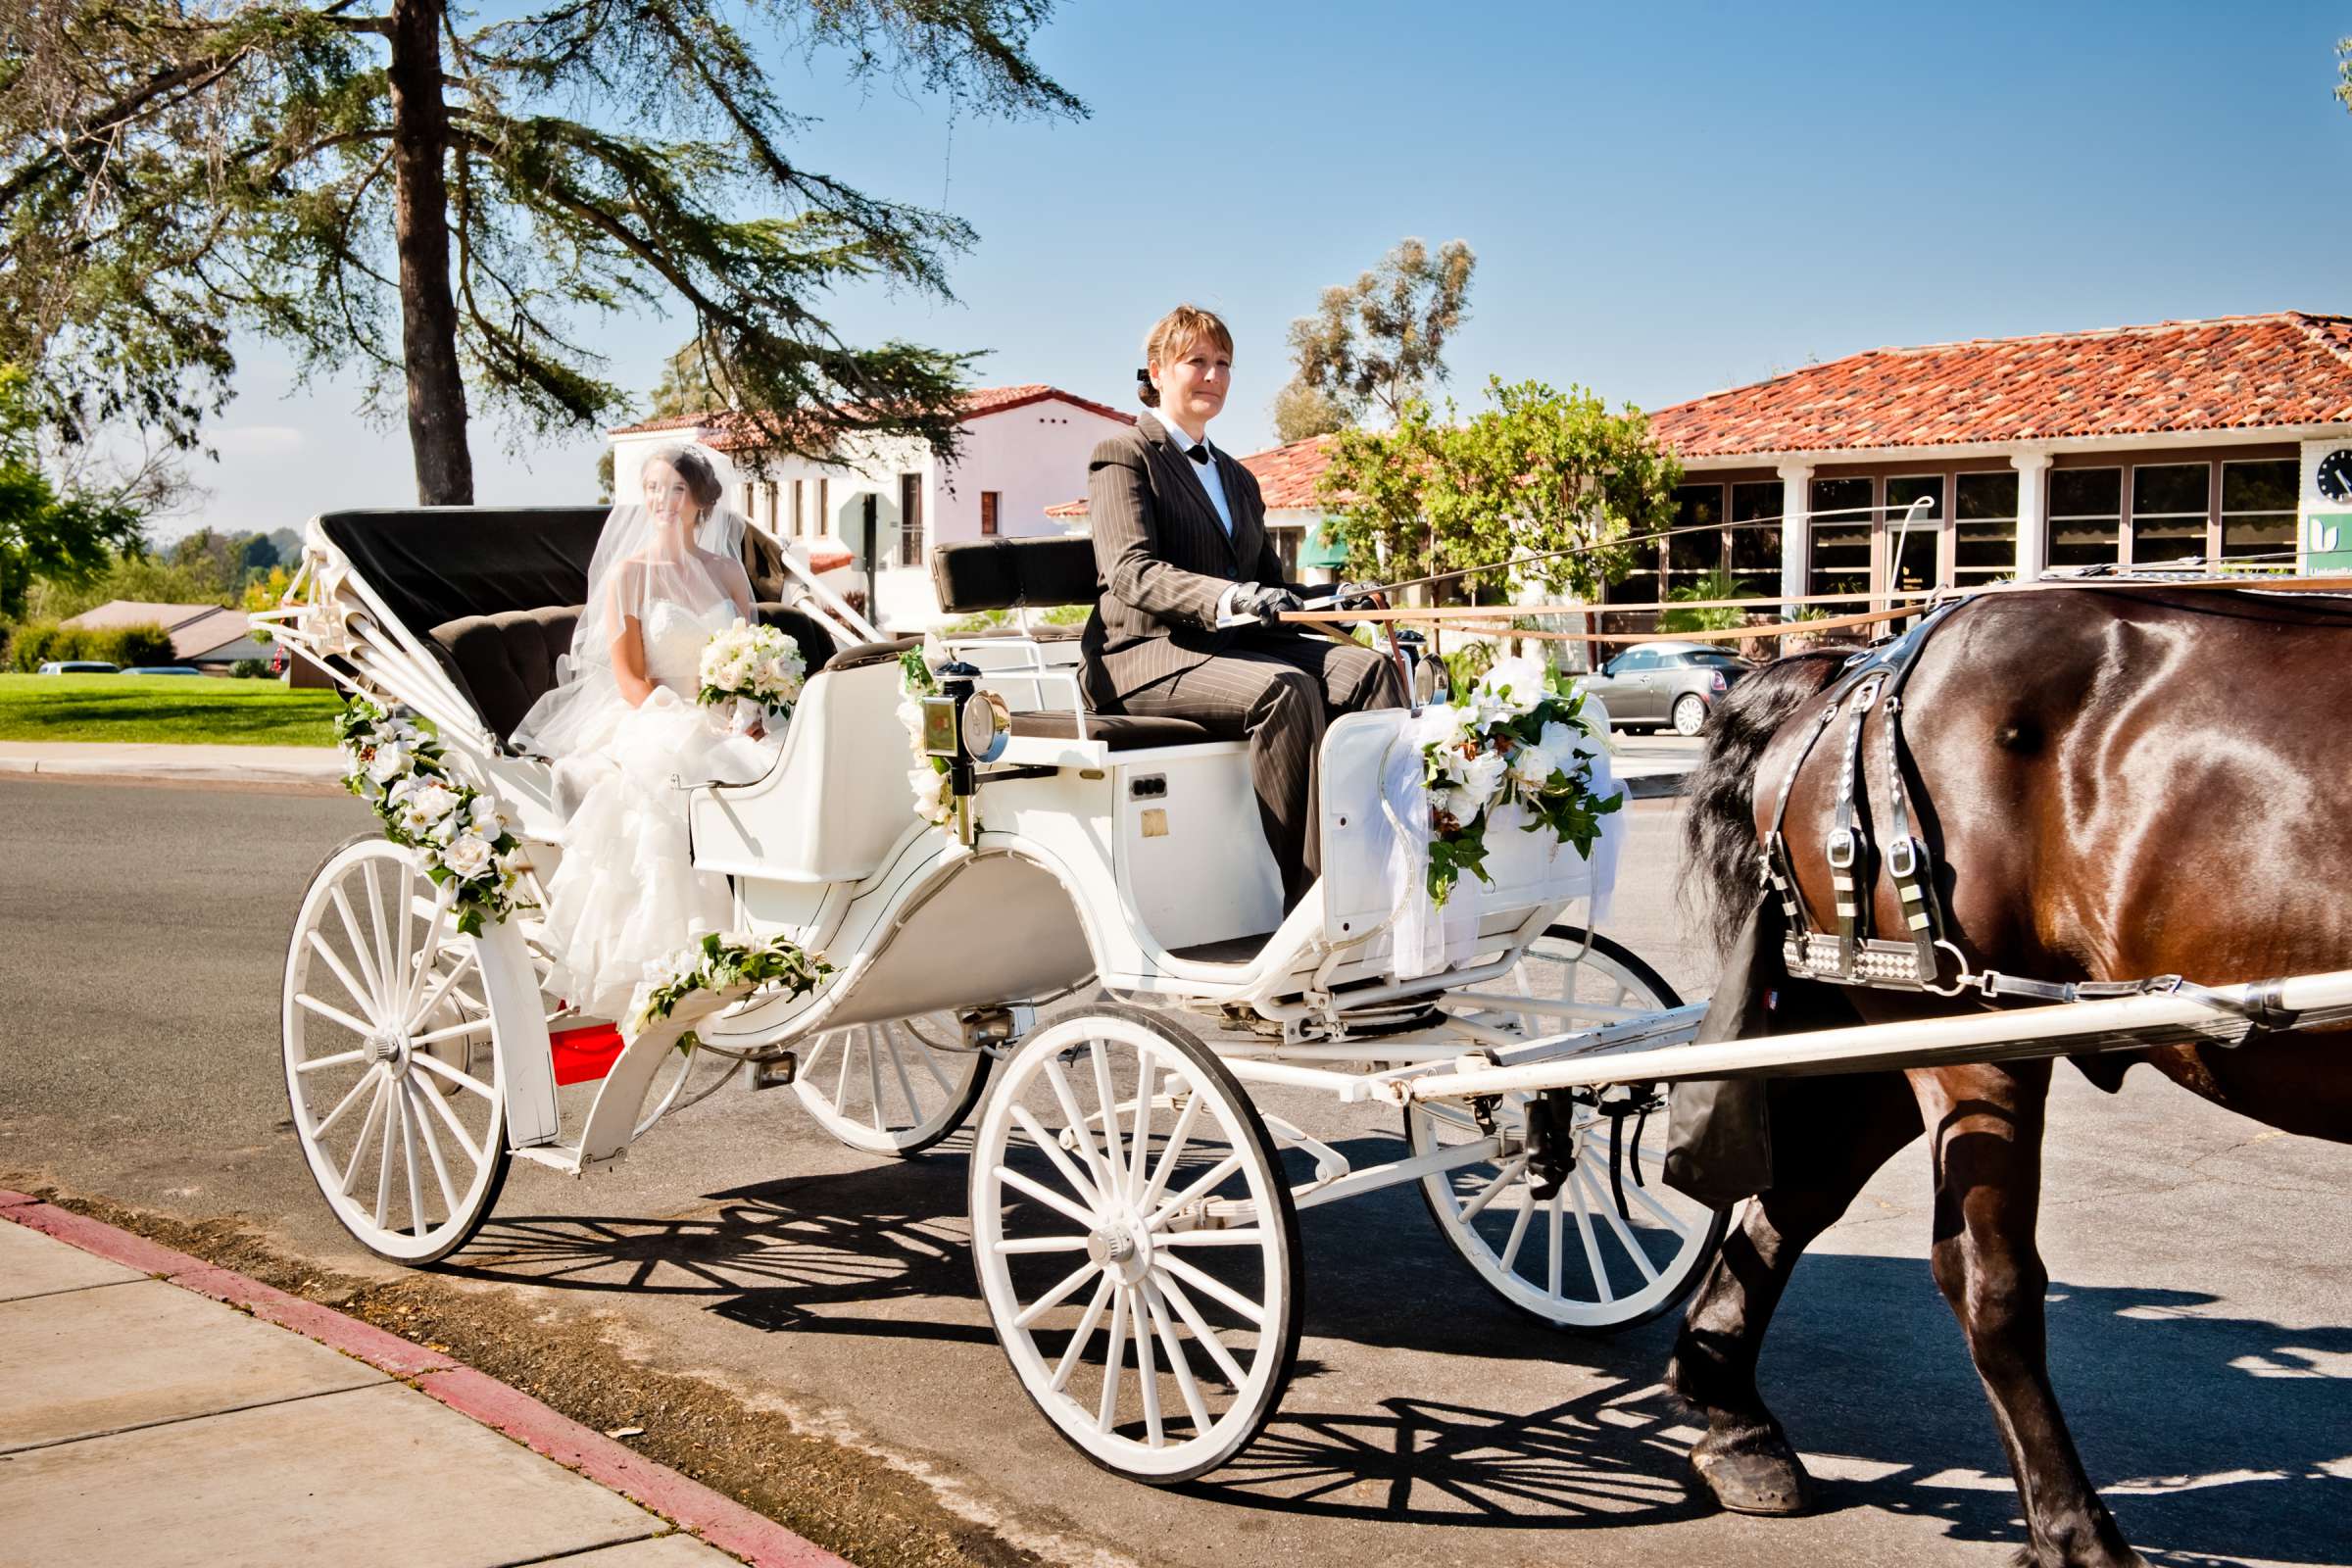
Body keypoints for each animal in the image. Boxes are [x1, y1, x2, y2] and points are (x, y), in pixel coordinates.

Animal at [1665, 587, 2342, 1568]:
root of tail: (1866, 670)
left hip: (1903, 1024)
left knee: (1799, 1192)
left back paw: (1737, 1427)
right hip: (1962, 1034)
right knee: (1985, 1277)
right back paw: (2073, 1530)